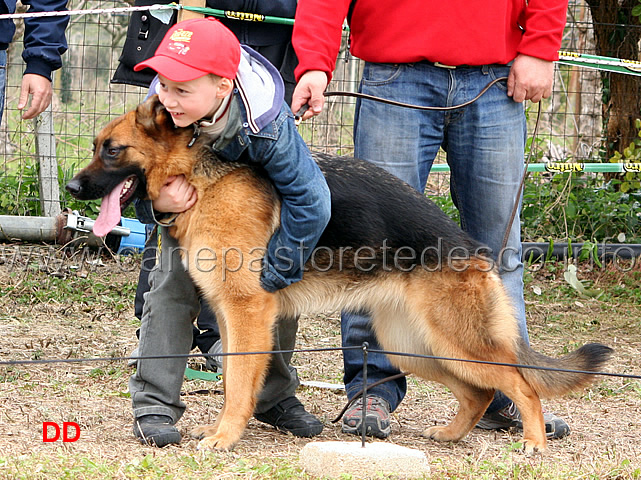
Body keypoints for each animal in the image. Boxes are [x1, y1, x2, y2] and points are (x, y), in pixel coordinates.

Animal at [67, 96, 612, 454]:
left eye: (112, 150)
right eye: (96, 146)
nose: (72, 187)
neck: (202, 176)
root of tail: (473, 249)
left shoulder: (247, 313)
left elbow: (238, 383)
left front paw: (225, 436)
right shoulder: (231, 315)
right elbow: (235, 378)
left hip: (455, 341)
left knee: (521, 384)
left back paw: (534, 444)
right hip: (413, 346)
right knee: (479, 392)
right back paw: (452, 435)